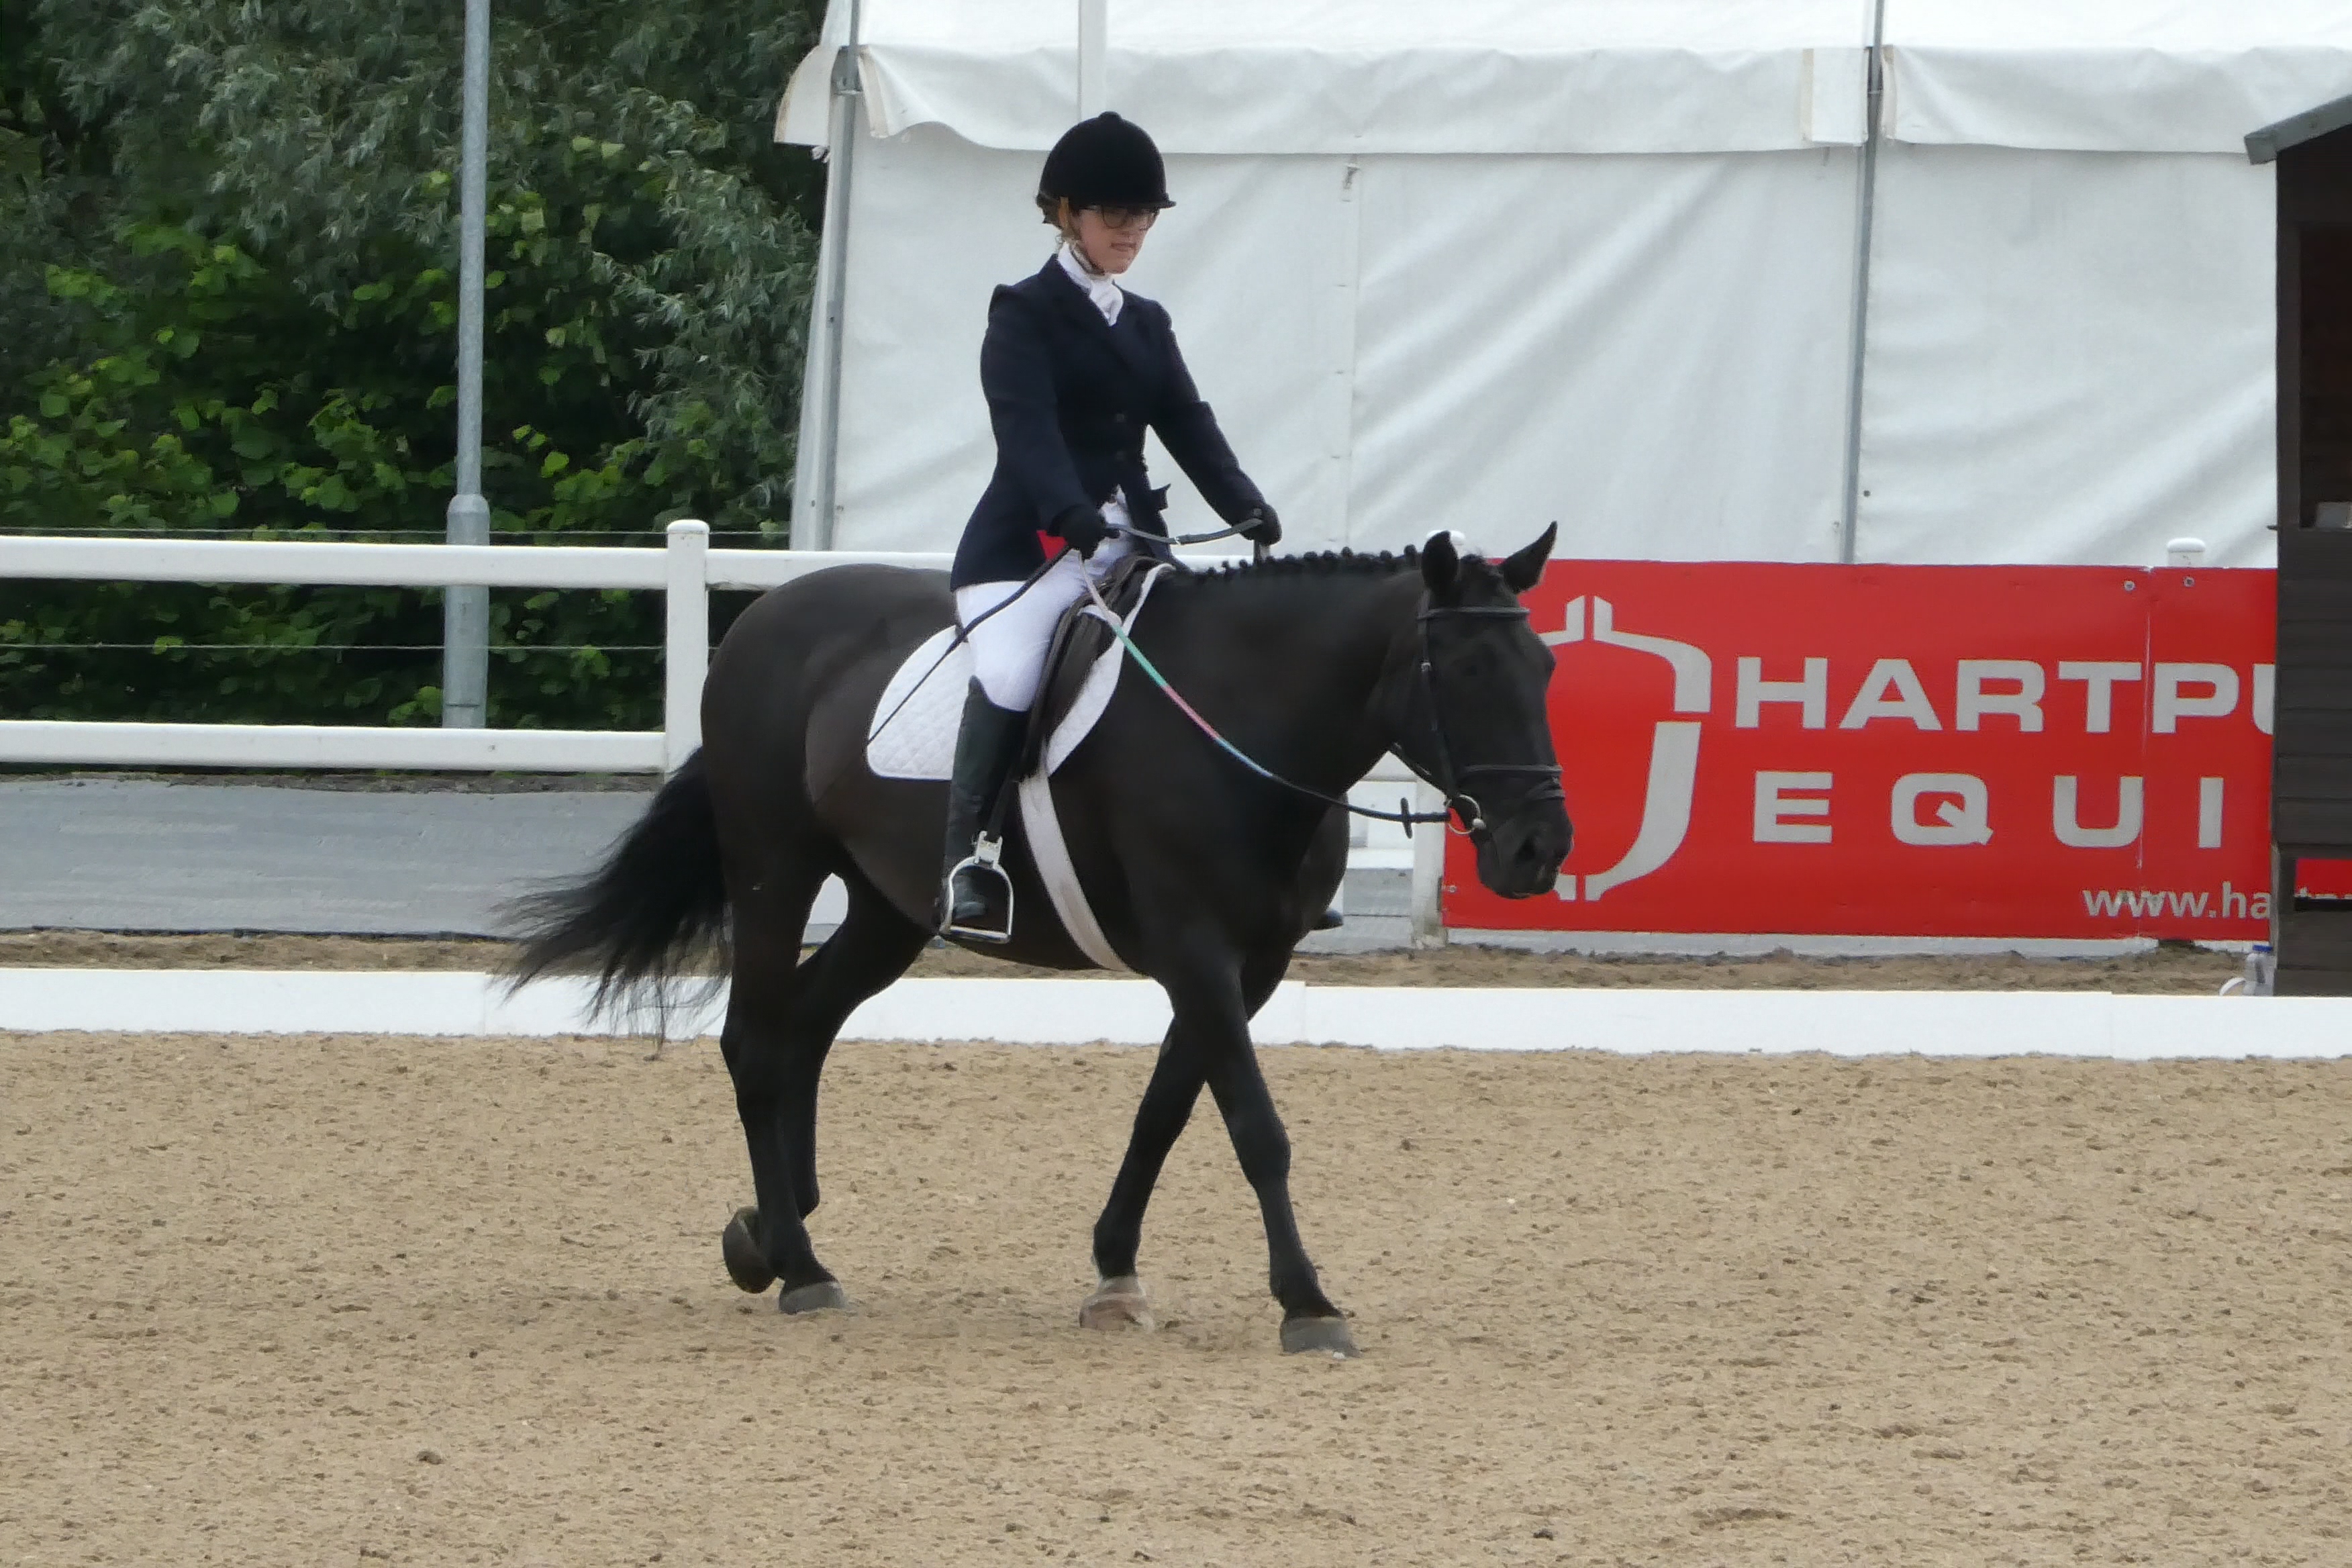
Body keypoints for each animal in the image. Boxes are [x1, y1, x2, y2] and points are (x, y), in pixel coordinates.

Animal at [506, 525, 1572, 1356]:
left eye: (1548, 669)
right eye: (1467, 670)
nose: (1539, 848)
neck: (1242, 719)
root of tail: (763, 618)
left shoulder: (1250, 966)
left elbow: (1166, 1111)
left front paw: (1116, 1273)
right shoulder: (1196, 952)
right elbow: (1255, 1127)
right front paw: (1307, 1302)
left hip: (889, 907)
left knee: (805, 1028)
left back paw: (772, 1232)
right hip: (775, 867)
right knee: (757, 1042)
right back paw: (801, 1268)